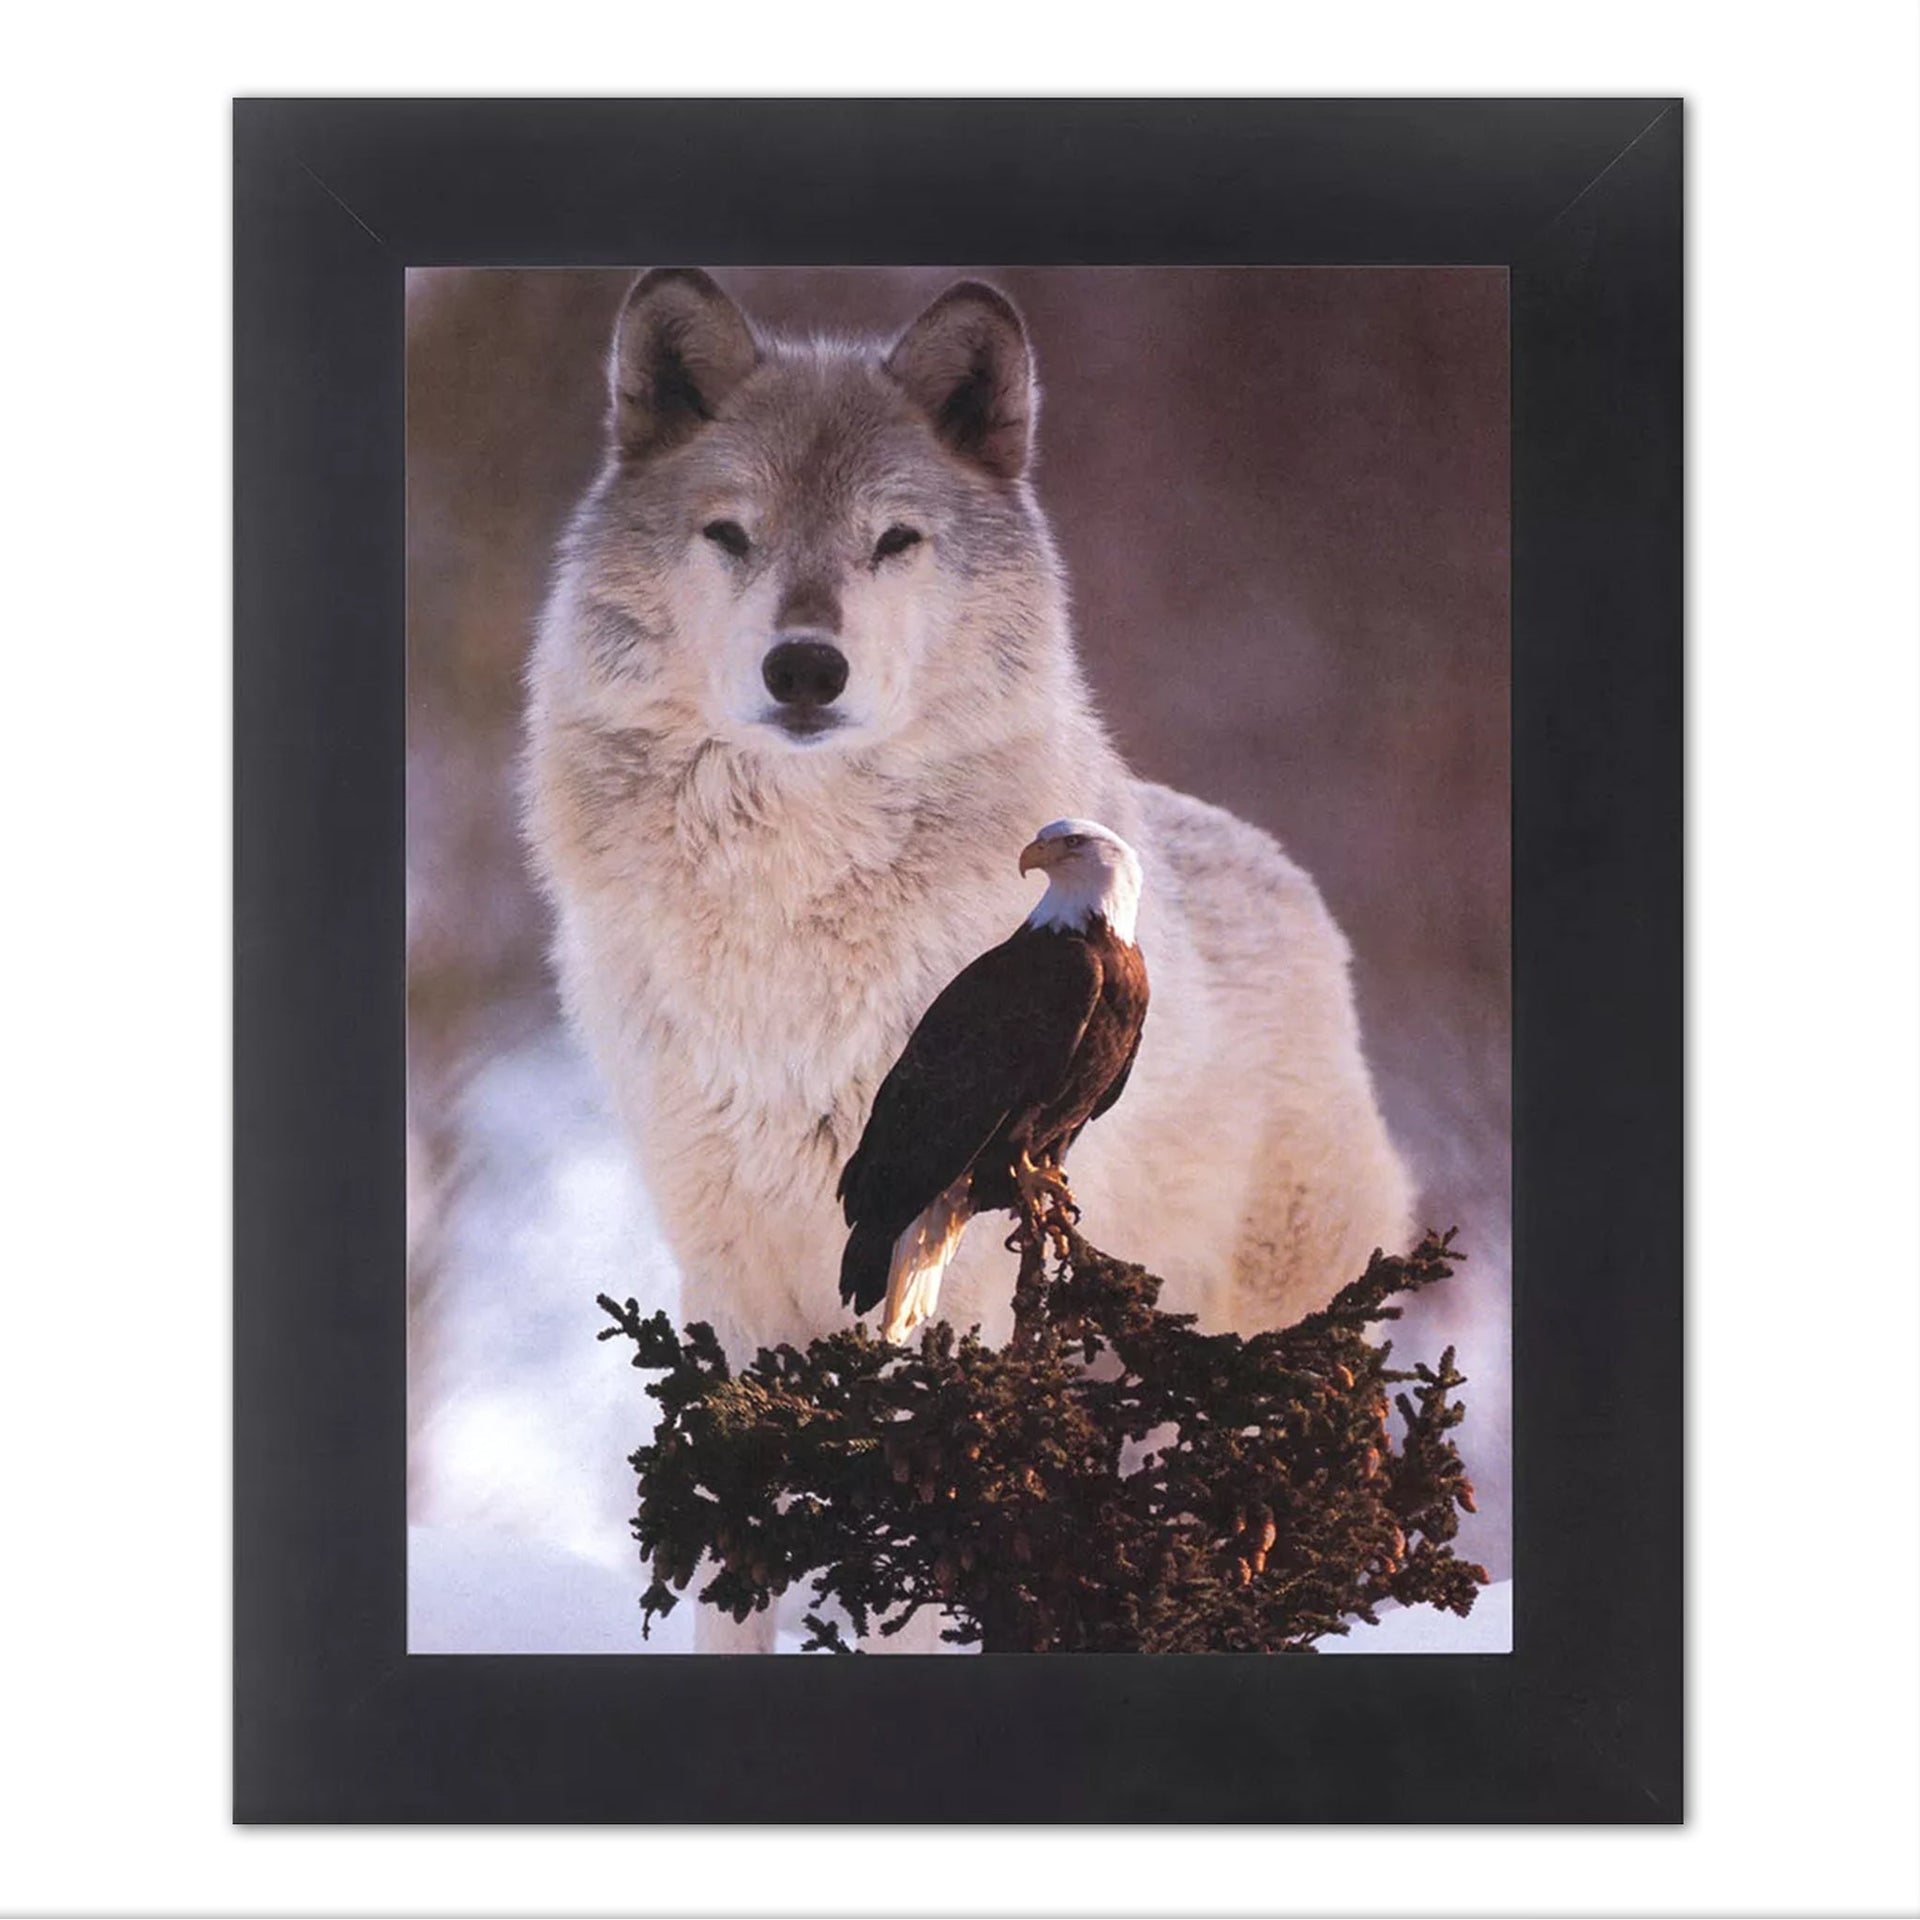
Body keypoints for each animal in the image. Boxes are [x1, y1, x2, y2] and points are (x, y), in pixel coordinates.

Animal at [525, 268, 1414, 1371]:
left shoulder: (954, 1231)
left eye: (894, 540)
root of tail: (1292, 880)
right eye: (729, 535)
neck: (792, 898)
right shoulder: (731, 1258)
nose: (806, 668)